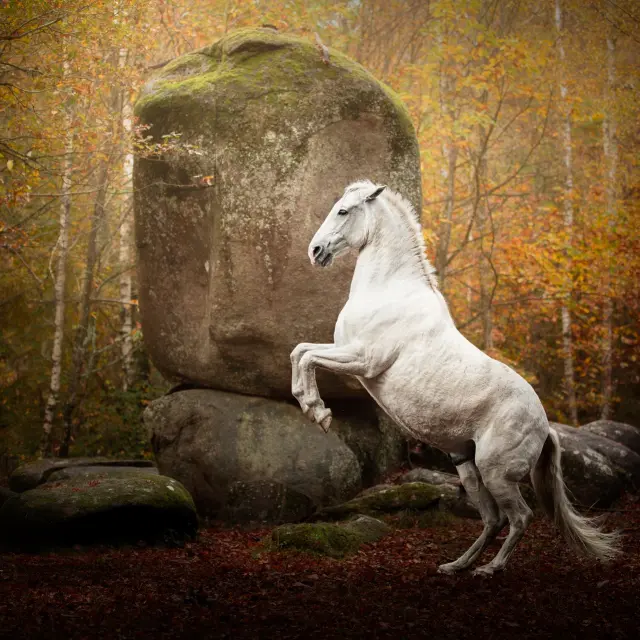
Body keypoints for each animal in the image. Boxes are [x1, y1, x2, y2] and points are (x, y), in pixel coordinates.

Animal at [290, 179, 619, 576]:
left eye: (343, 210)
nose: (315, 251)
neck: (389, 291)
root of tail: (545, 427)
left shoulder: (362, 360)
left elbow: (308, 357)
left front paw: (318, 412)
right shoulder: (345, 350)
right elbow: (299, 351)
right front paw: (310, 405)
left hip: (496, 472)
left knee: (520, 517)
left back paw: (490, 568)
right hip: (467, 467)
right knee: (493, 519)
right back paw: (456, 565)